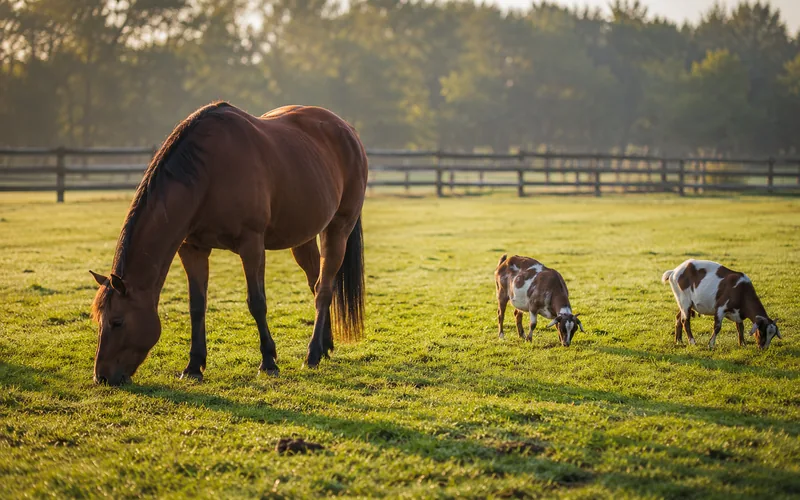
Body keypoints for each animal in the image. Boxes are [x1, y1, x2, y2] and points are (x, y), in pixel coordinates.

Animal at [89, 102, 367, 385]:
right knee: (316, 283)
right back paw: (324, 346)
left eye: (117, 321)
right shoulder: (193, 249)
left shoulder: (252, 245)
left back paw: (312, 355)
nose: (102, 376)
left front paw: (268, 362)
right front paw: (193, 366)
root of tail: (347, 130)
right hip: (304, 236)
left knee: (324, 289)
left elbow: (257, 302)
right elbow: (197, 306)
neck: (208, 174)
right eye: (99, 320)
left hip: (338, 229)